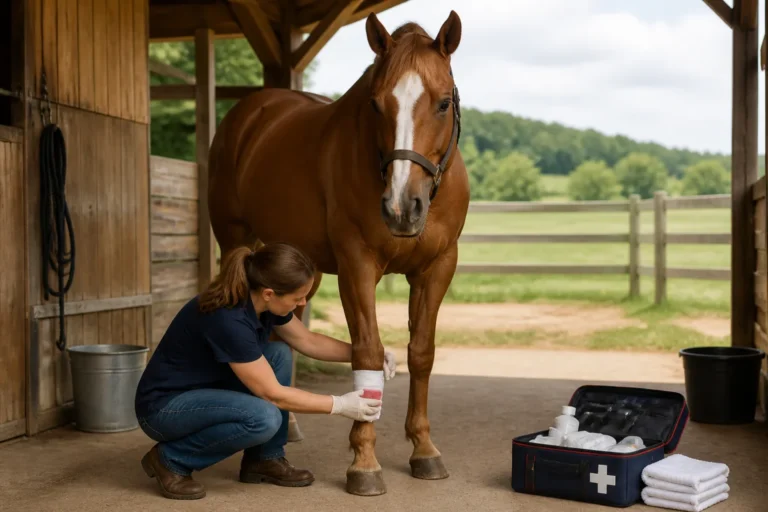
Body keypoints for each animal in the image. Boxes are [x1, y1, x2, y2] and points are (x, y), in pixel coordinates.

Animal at [207, 10, 469, 496]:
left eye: (443, 103)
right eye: (376, 104)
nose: (401, 208)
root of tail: (251, 114)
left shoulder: (437, 267)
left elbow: (421, 352)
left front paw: (424, 449)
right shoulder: (356, 265)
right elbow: (365, 352)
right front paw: (364, 461)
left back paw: (289, 425)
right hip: (235, 240)